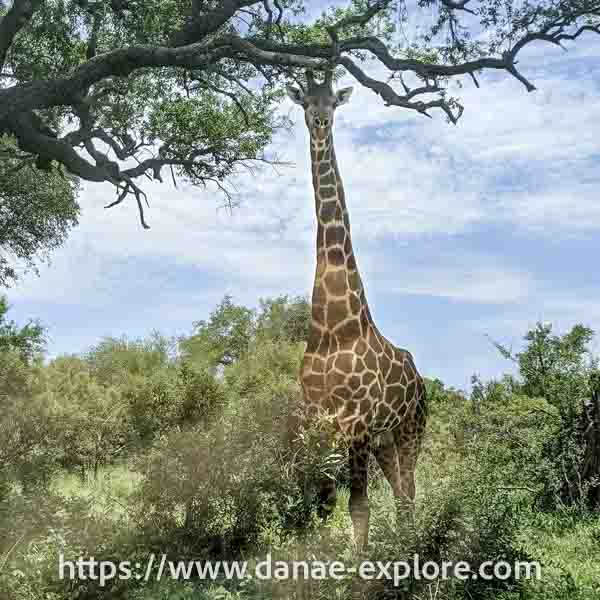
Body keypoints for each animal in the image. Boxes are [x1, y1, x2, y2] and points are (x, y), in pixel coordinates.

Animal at [288, 70, 428, 548]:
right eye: (305, 101)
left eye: (333, 101)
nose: (320, 121)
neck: (333, 327)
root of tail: (421, 380)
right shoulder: (317, 420)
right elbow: (320, 504)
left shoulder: (358, 422)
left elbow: (359, 506)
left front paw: (360, 563)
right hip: (385, 439)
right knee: (403, 492)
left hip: (409, 429)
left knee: (408, 490)